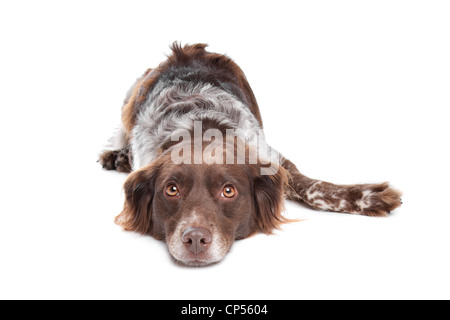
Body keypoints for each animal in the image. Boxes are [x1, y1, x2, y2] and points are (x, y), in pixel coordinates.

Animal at [98, 43, 400, 268]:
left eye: (228, 191)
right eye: (171, 189)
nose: (195, 239)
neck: (200, 126)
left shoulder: (272, 157)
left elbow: (312, 187)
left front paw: (366, 197)